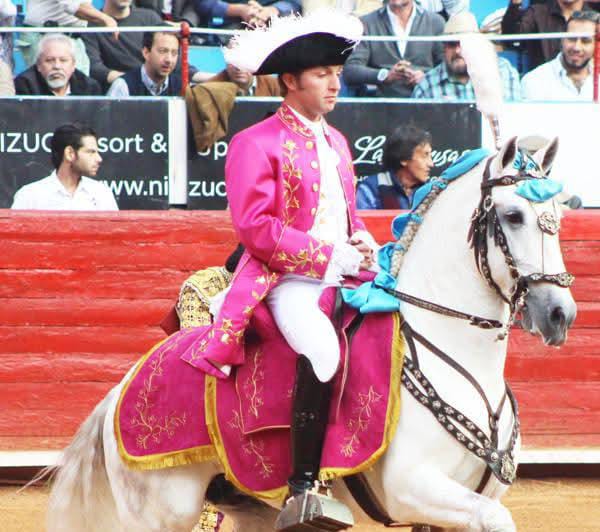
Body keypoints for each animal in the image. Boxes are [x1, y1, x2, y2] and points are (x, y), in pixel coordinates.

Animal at [45, 135, 576, 532]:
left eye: (559, 217)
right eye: (513, 215)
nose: (560, 314)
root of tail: (123, 385)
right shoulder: (413, 488)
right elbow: (499, 518)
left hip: (248, 507)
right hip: (158, 512)